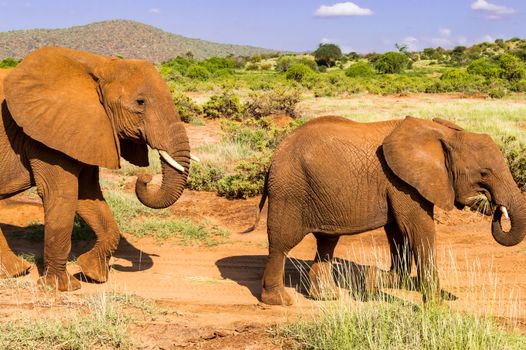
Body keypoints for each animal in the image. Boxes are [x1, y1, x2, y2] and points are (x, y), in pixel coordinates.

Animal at [0, 47, 197, 292]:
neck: (99, 64)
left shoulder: (87, 130)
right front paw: (63, 288)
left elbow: (88, 195)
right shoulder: (46, 134)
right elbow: (62, 195)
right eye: (140, 102)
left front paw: (92, 273)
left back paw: (16, 271)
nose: (146, 178)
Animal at [251, 116, 526, 304]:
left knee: (327, 242)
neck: (443, 134)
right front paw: (435, 306)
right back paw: (279, 301)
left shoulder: (399, 183)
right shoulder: (403, 183)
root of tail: (274, 157)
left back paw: (327, 297)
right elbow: (418, 229)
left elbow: (397, 233)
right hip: (289, 192)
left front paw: (377, 280)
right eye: (484, 173)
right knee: (282, 243)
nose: (494, 207)